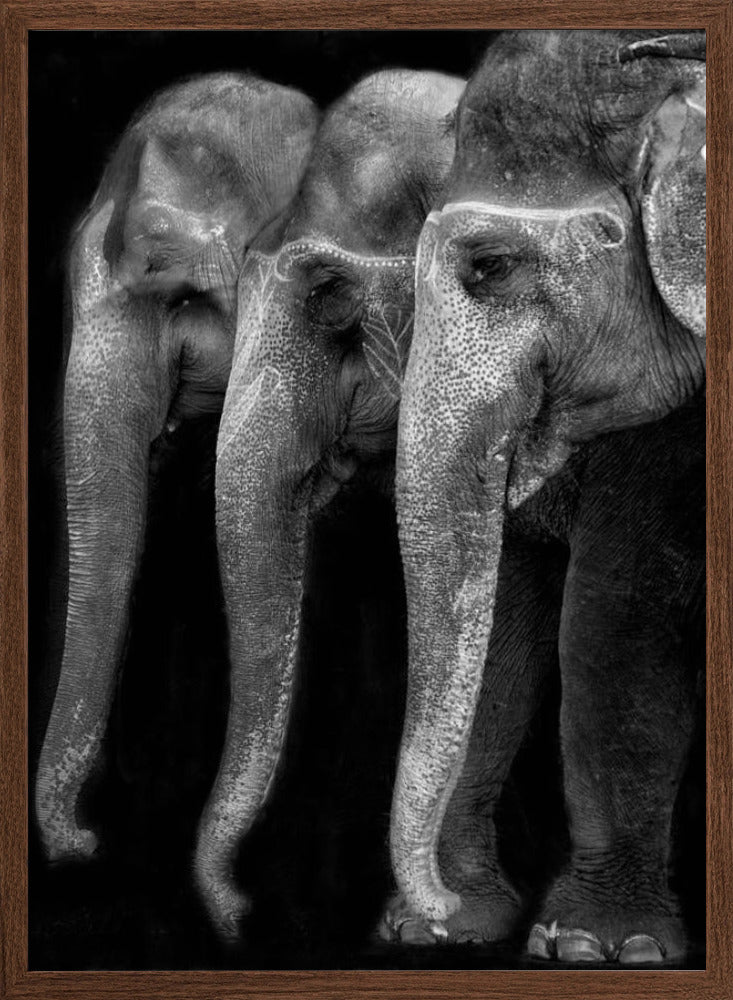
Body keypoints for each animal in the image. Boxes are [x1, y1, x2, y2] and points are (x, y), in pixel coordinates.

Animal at [385, 30, 705, 963]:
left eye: (487, 268)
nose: (432, 908)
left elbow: (617, 613)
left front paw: (600, 947)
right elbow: (513, 603)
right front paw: (452, 930)